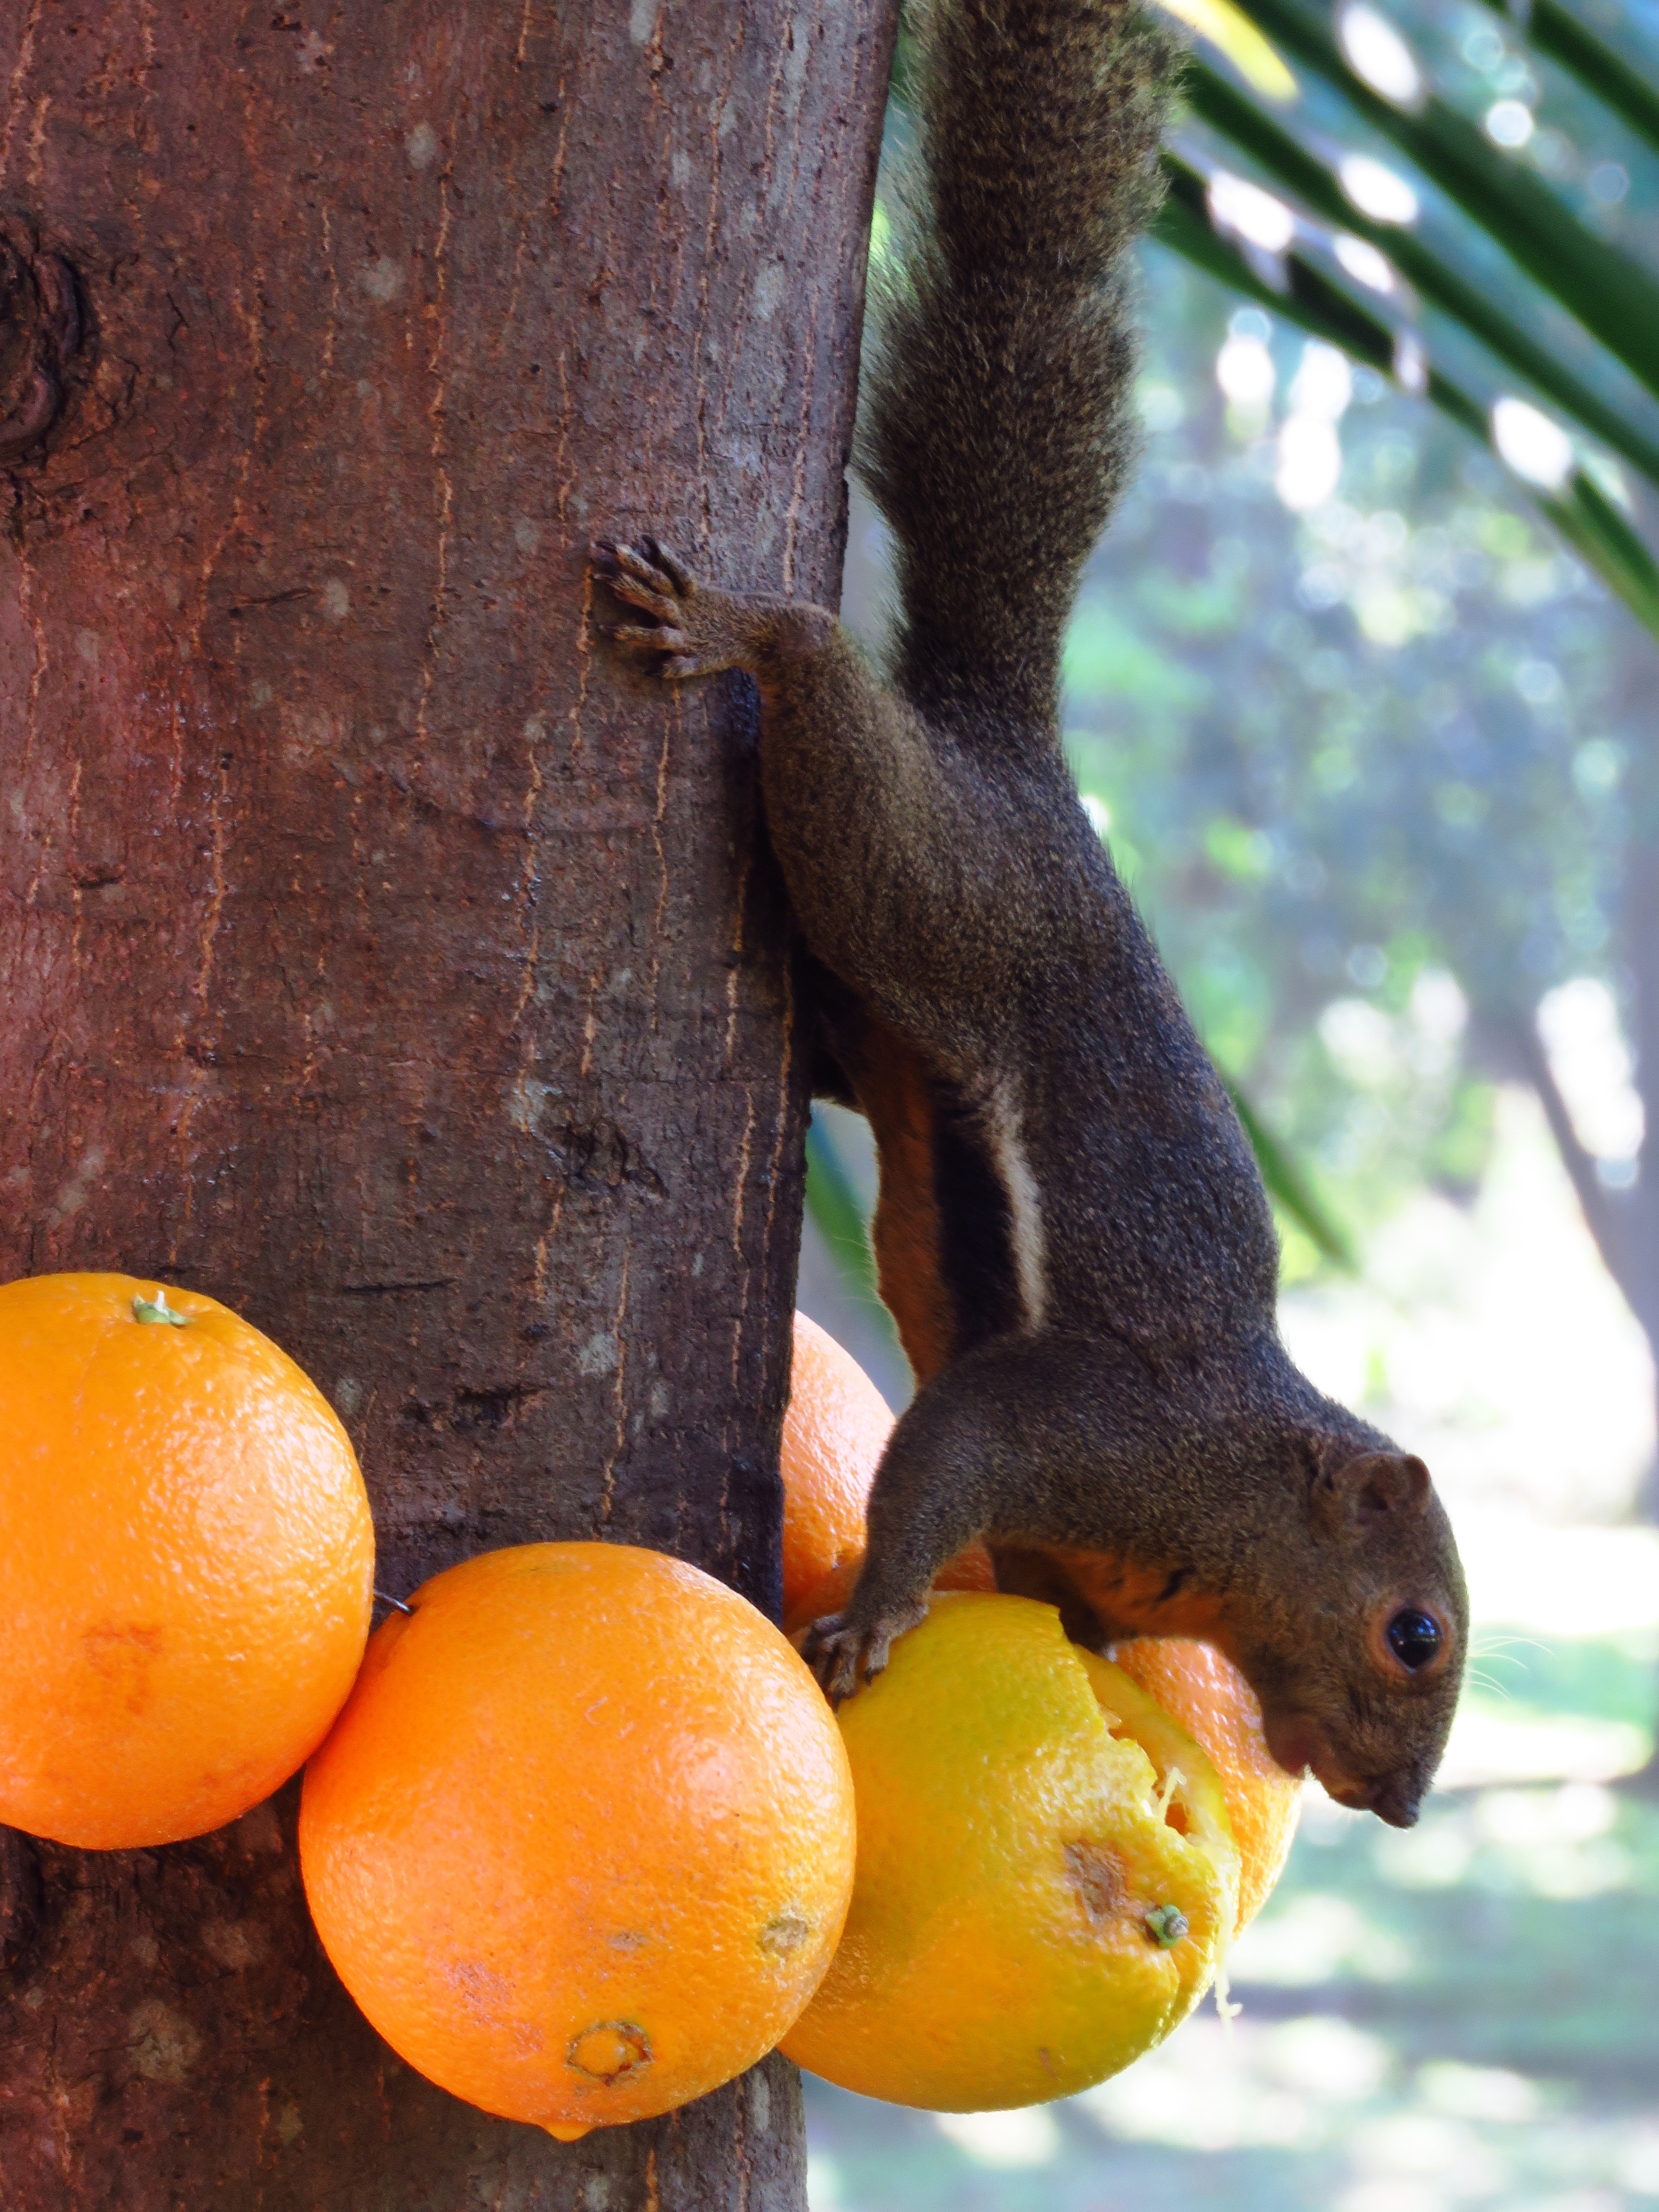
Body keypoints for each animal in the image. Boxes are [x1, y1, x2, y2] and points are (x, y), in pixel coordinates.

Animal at [592, 0, 1468, 1822]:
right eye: (1413, 1631)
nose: (1409, 1805)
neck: (1234, 1521)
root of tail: (1010, 750)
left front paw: (1085, 1656)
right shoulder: (1092, 1433)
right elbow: (950, 1458)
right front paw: (873, 1617)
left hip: (886, 995)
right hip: (924, 880)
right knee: (822, 693)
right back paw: (741, 628)